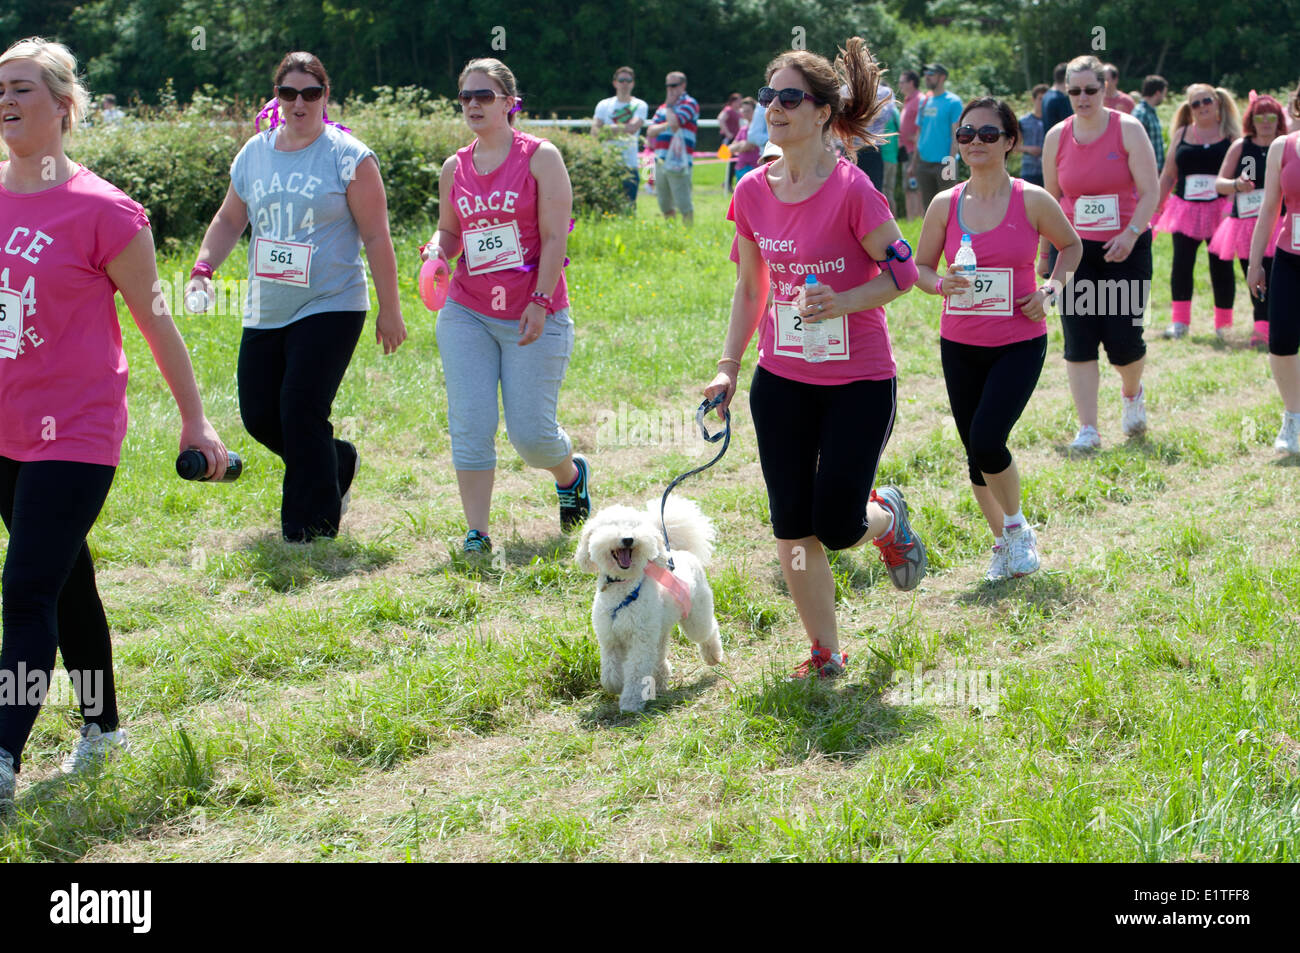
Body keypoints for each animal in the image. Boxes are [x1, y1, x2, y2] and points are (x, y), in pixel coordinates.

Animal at [577, 499, 728, 707]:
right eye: (611, 525)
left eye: (635, 526)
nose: (628, 539)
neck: (624, 586)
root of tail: (683, 553)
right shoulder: (610, 639)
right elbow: (609, 674)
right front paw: (617, 686)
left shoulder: (640, 640)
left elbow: (635, 672)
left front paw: (630, 702)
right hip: (659, 631)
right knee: (659, 655)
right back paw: (661, 680)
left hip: (696, 615)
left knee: (709, 630)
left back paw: (713, 656)